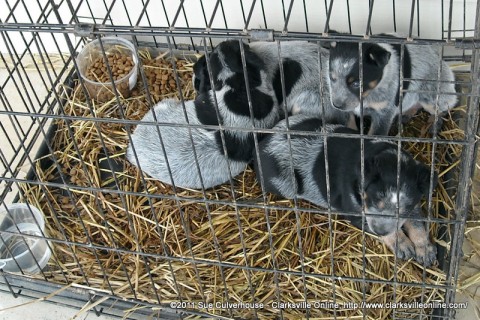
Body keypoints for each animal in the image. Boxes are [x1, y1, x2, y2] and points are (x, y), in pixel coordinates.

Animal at [255, 114, 438, 266]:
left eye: (405, 207)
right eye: (375, 198)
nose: (380, 230)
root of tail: (263, 144)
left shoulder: (414, 204)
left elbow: (417, 224)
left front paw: (427, 254)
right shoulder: (356, 214)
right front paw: (404, 248)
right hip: (285, 185)